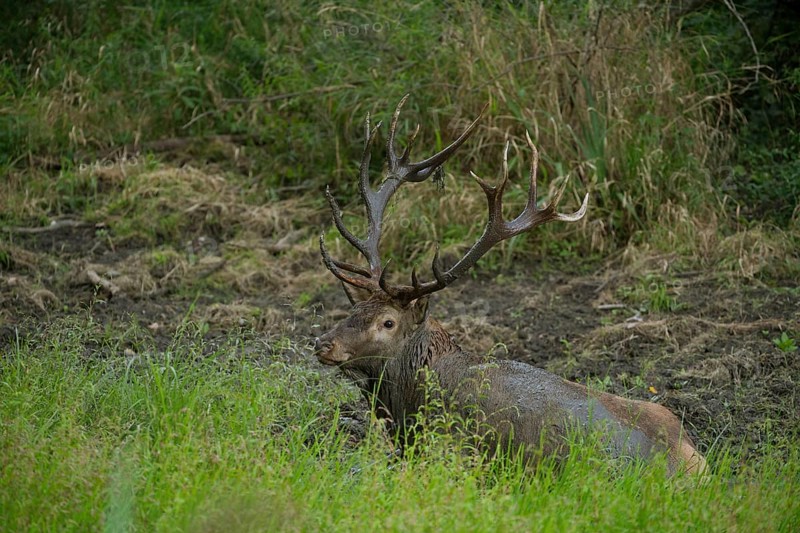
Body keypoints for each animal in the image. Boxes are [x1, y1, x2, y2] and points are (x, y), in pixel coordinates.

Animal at [314, 96, 706, 476]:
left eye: (388, 322)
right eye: (353, 309)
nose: (323, 343)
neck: (411, 402)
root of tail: (691, 461)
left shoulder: (455, 449)